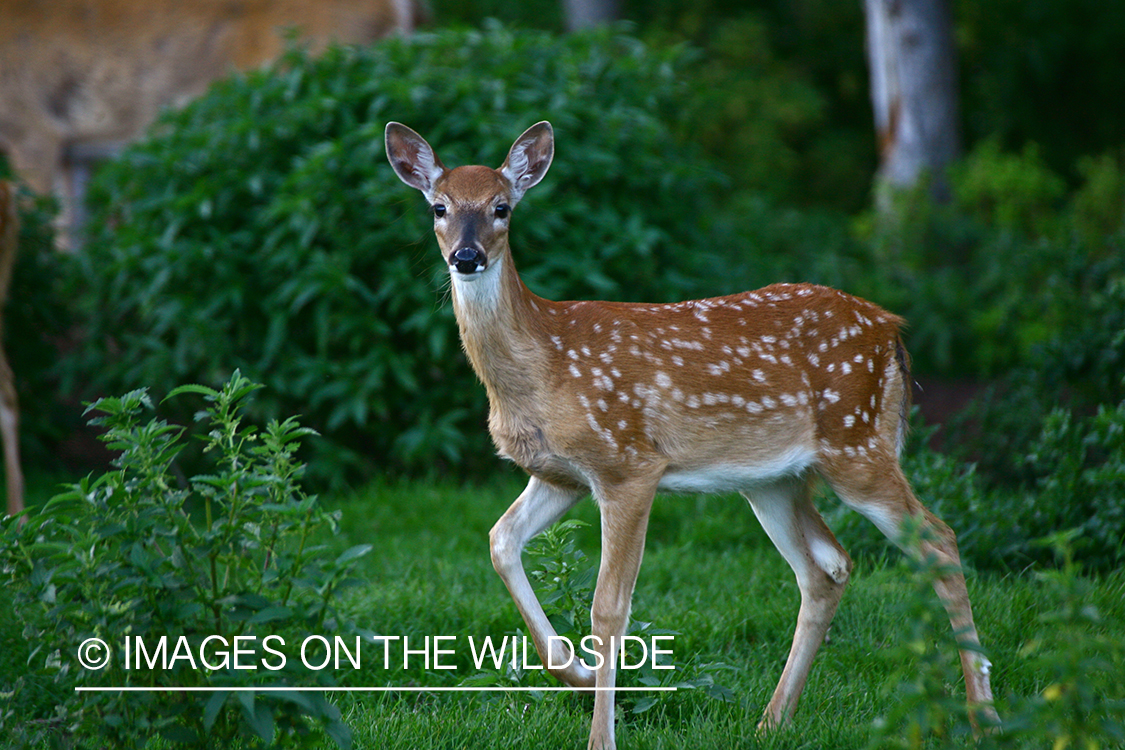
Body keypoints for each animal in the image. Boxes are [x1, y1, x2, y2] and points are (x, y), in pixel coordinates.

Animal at [385, 121, 997, 750]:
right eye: (438, 207)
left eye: (502, 207)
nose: (467, 256)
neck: (541, 366)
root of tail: (892, 330)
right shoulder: (560, 475)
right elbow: (500, 541)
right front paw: (574, 673)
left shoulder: (629, 464)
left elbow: (609, 607)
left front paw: (601, 737)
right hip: (775, 480)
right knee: (827, 568)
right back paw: (772, 719)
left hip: (857, 444)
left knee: (939, 540)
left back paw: (984, 715)